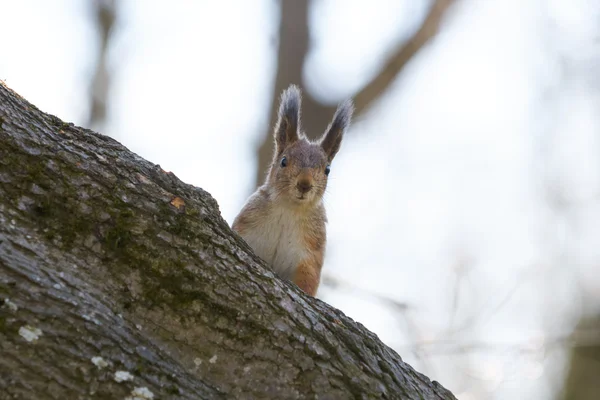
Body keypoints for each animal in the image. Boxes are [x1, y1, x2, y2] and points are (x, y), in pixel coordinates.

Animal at [230, 85, 352, 296]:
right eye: (283, 161)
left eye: (327, 169)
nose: (304, 184)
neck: (289, 209)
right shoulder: (246, 227)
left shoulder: (310, 254)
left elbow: (307, 280)